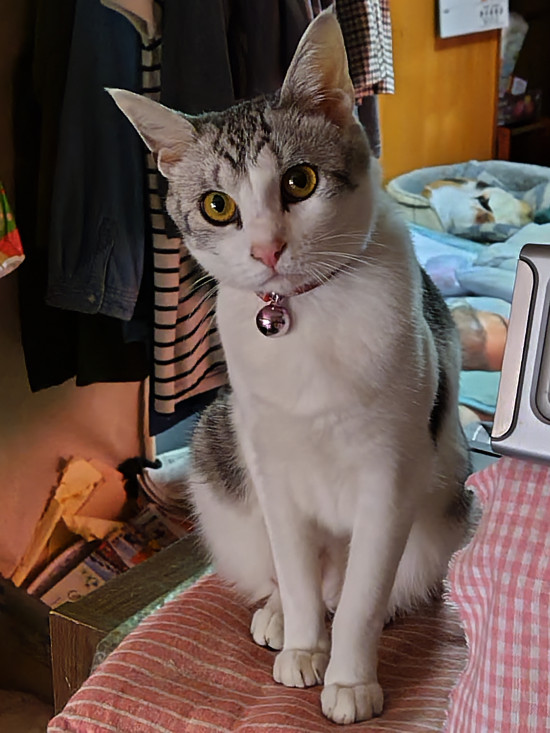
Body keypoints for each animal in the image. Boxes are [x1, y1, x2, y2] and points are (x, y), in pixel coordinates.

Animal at [109, 9, 471, 725]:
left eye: (299, 181)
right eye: (218, 205)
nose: (267, 249)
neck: (305, 315)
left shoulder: (388, 475)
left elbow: (361, 598)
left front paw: (350, 680)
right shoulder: (269, 467)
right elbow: (297, 575)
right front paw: (305, 646)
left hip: (444, 511)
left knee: (369, 585)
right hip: (222, 464)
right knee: (290, 574)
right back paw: (281, 616)